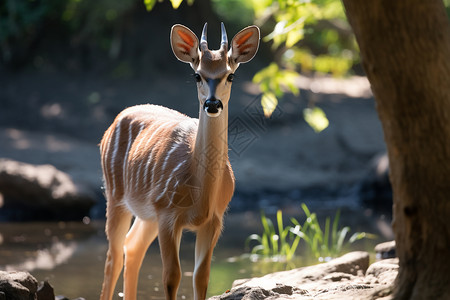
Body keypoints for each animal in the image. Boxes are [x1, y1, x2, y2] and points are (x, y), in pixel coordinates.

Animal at [98, 22, 260, 300]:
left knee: (132, 247)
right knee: (113, 256)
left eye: (230, 76)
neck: (200, 193)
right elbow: (171, 276)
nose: (212, 104)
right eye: (197, 75)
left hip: (146, 212)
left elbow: (201, 277)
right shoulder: (167, 212)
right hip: (115, 193)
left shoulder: (214, 219)